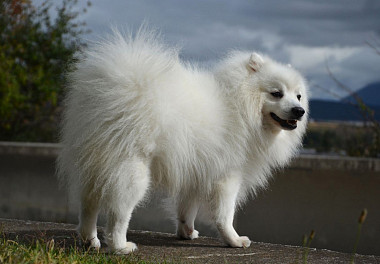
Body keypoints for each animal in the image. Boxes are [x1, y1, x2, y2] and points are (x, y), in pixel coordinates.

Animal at [58, 28, 308, 254]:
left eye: (298, 95)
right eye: (276, 93)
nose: (300, 111)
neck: (241, 106)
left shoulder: (196, 170)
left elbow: (187, 207)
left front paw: (186, 232)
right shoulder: (228, 176)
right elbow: (224, 215)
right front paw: (234, 240)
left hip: (95, 162)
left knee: (88, 203)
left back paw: (90, 241)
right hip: (131, 169)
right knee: (118, 212)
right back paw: (121, 246)